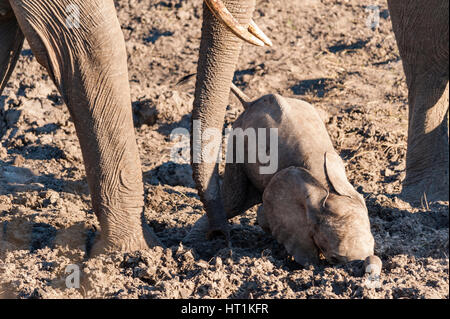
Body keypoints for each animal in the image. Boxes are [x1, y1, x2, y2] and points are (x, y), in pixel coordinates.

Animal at [222, 85, 376, 268]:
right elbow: (265, 217)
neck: (328, 191)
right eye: (334, 259)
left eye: (373, 247)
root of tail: (251, 102)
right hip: (236, 142)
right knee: (233, 202)